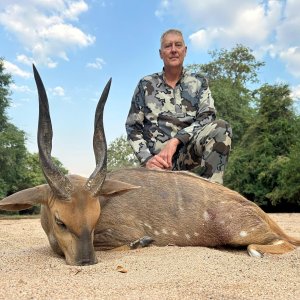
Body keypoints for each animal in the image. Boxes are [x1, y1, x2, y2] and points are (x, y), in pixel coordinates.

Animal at [0, 66, 298, 264]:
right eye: (60, 221)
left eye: (95, 218)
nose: (87, 262)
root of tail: (261, 213)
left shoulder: (118, 232)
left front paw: (140, 243)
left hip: (238, 232)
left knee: (278, 243)